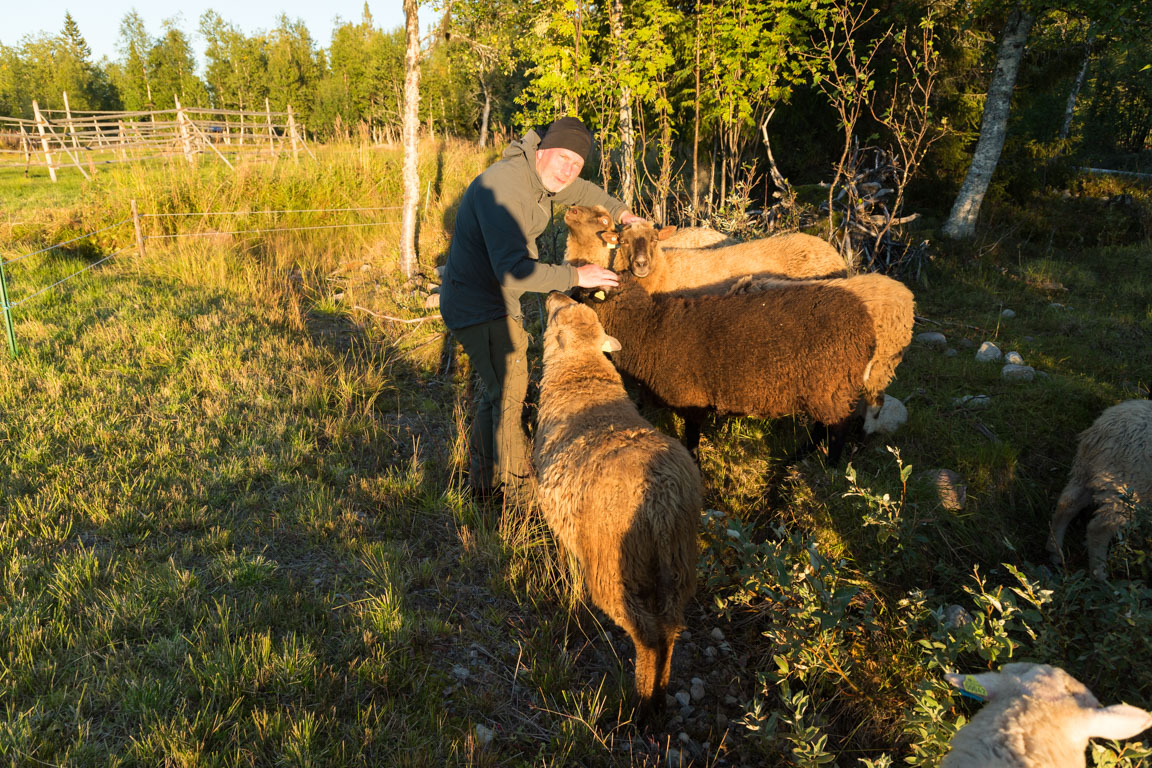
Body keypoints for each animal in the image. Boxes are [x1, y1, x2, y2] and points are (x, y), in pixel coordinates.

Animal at [580, 270, 875, 462]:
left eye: (586, 293)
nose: (569, 290)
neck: (646, 331)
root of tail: (867, 328)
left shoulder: (692, 401)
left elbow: (692, 441)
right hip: (823, 391)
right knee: (822, 427)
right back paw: (798, 456)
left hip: (831, 386)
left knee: (837, 428)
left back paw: (830, 466)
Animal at [1046, 400, 1152, 580]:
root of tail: (1103, 431)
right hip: (1127, 485)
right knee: (1099, 528)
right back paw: (1099, 575)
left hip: (1087, 473)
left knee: (1066, 505)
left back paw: (1055, 551)